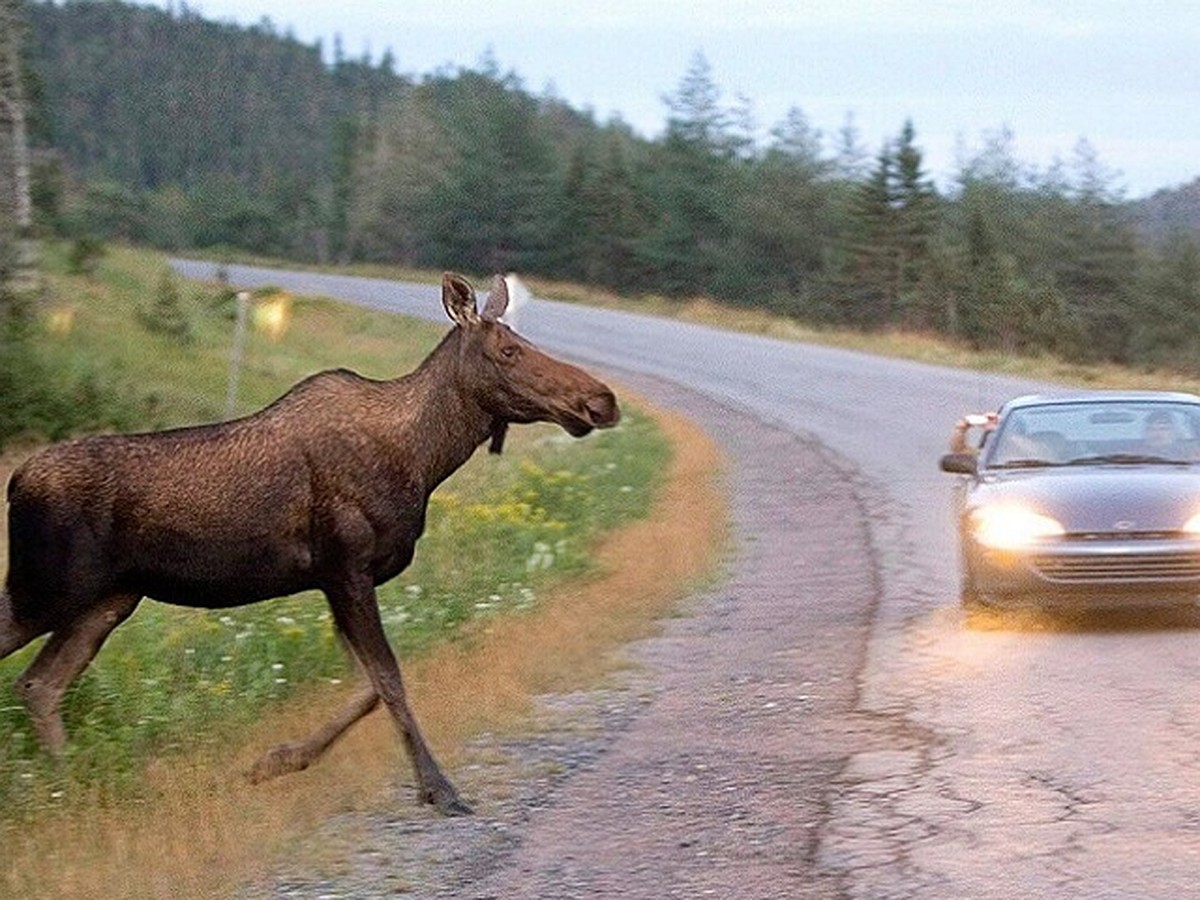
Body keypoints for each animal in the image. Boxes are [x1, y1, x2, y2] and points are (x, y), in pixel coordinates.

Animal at [0, 273, 619, 816]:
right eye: (508, 350)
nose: (603, 400)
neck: (424, 459)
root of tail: (15, 483)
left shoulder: (334, 579)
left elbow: (366, 686)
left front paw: (273, 761)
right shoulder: (347, 566)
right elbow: (389, 679)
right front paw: (440, 790)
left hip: (108, 599)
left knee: (41, 683)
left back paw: (71, 789)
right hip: (48, 587)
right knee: (34, 673)